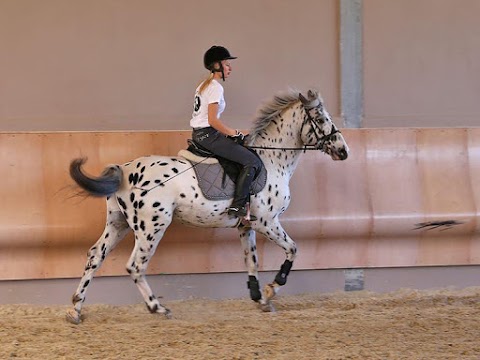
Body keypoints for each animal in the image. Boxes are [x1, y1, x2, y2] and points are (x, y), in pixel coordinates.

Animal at [65, 89, 346, 324]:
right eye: (320, 118)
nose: (343, 151)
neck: (271, 159)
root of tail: (124, 170)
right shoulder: (267, 222)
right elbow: (292, 250)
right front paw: (272, 289)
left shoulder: (246, 226)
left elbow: (251, 260)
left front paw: (260, 298)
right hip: (151, 227)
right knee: (135, 265)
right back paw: (158, 308)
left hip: (118, 223)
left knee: (95, 256)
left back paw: (75, 311)